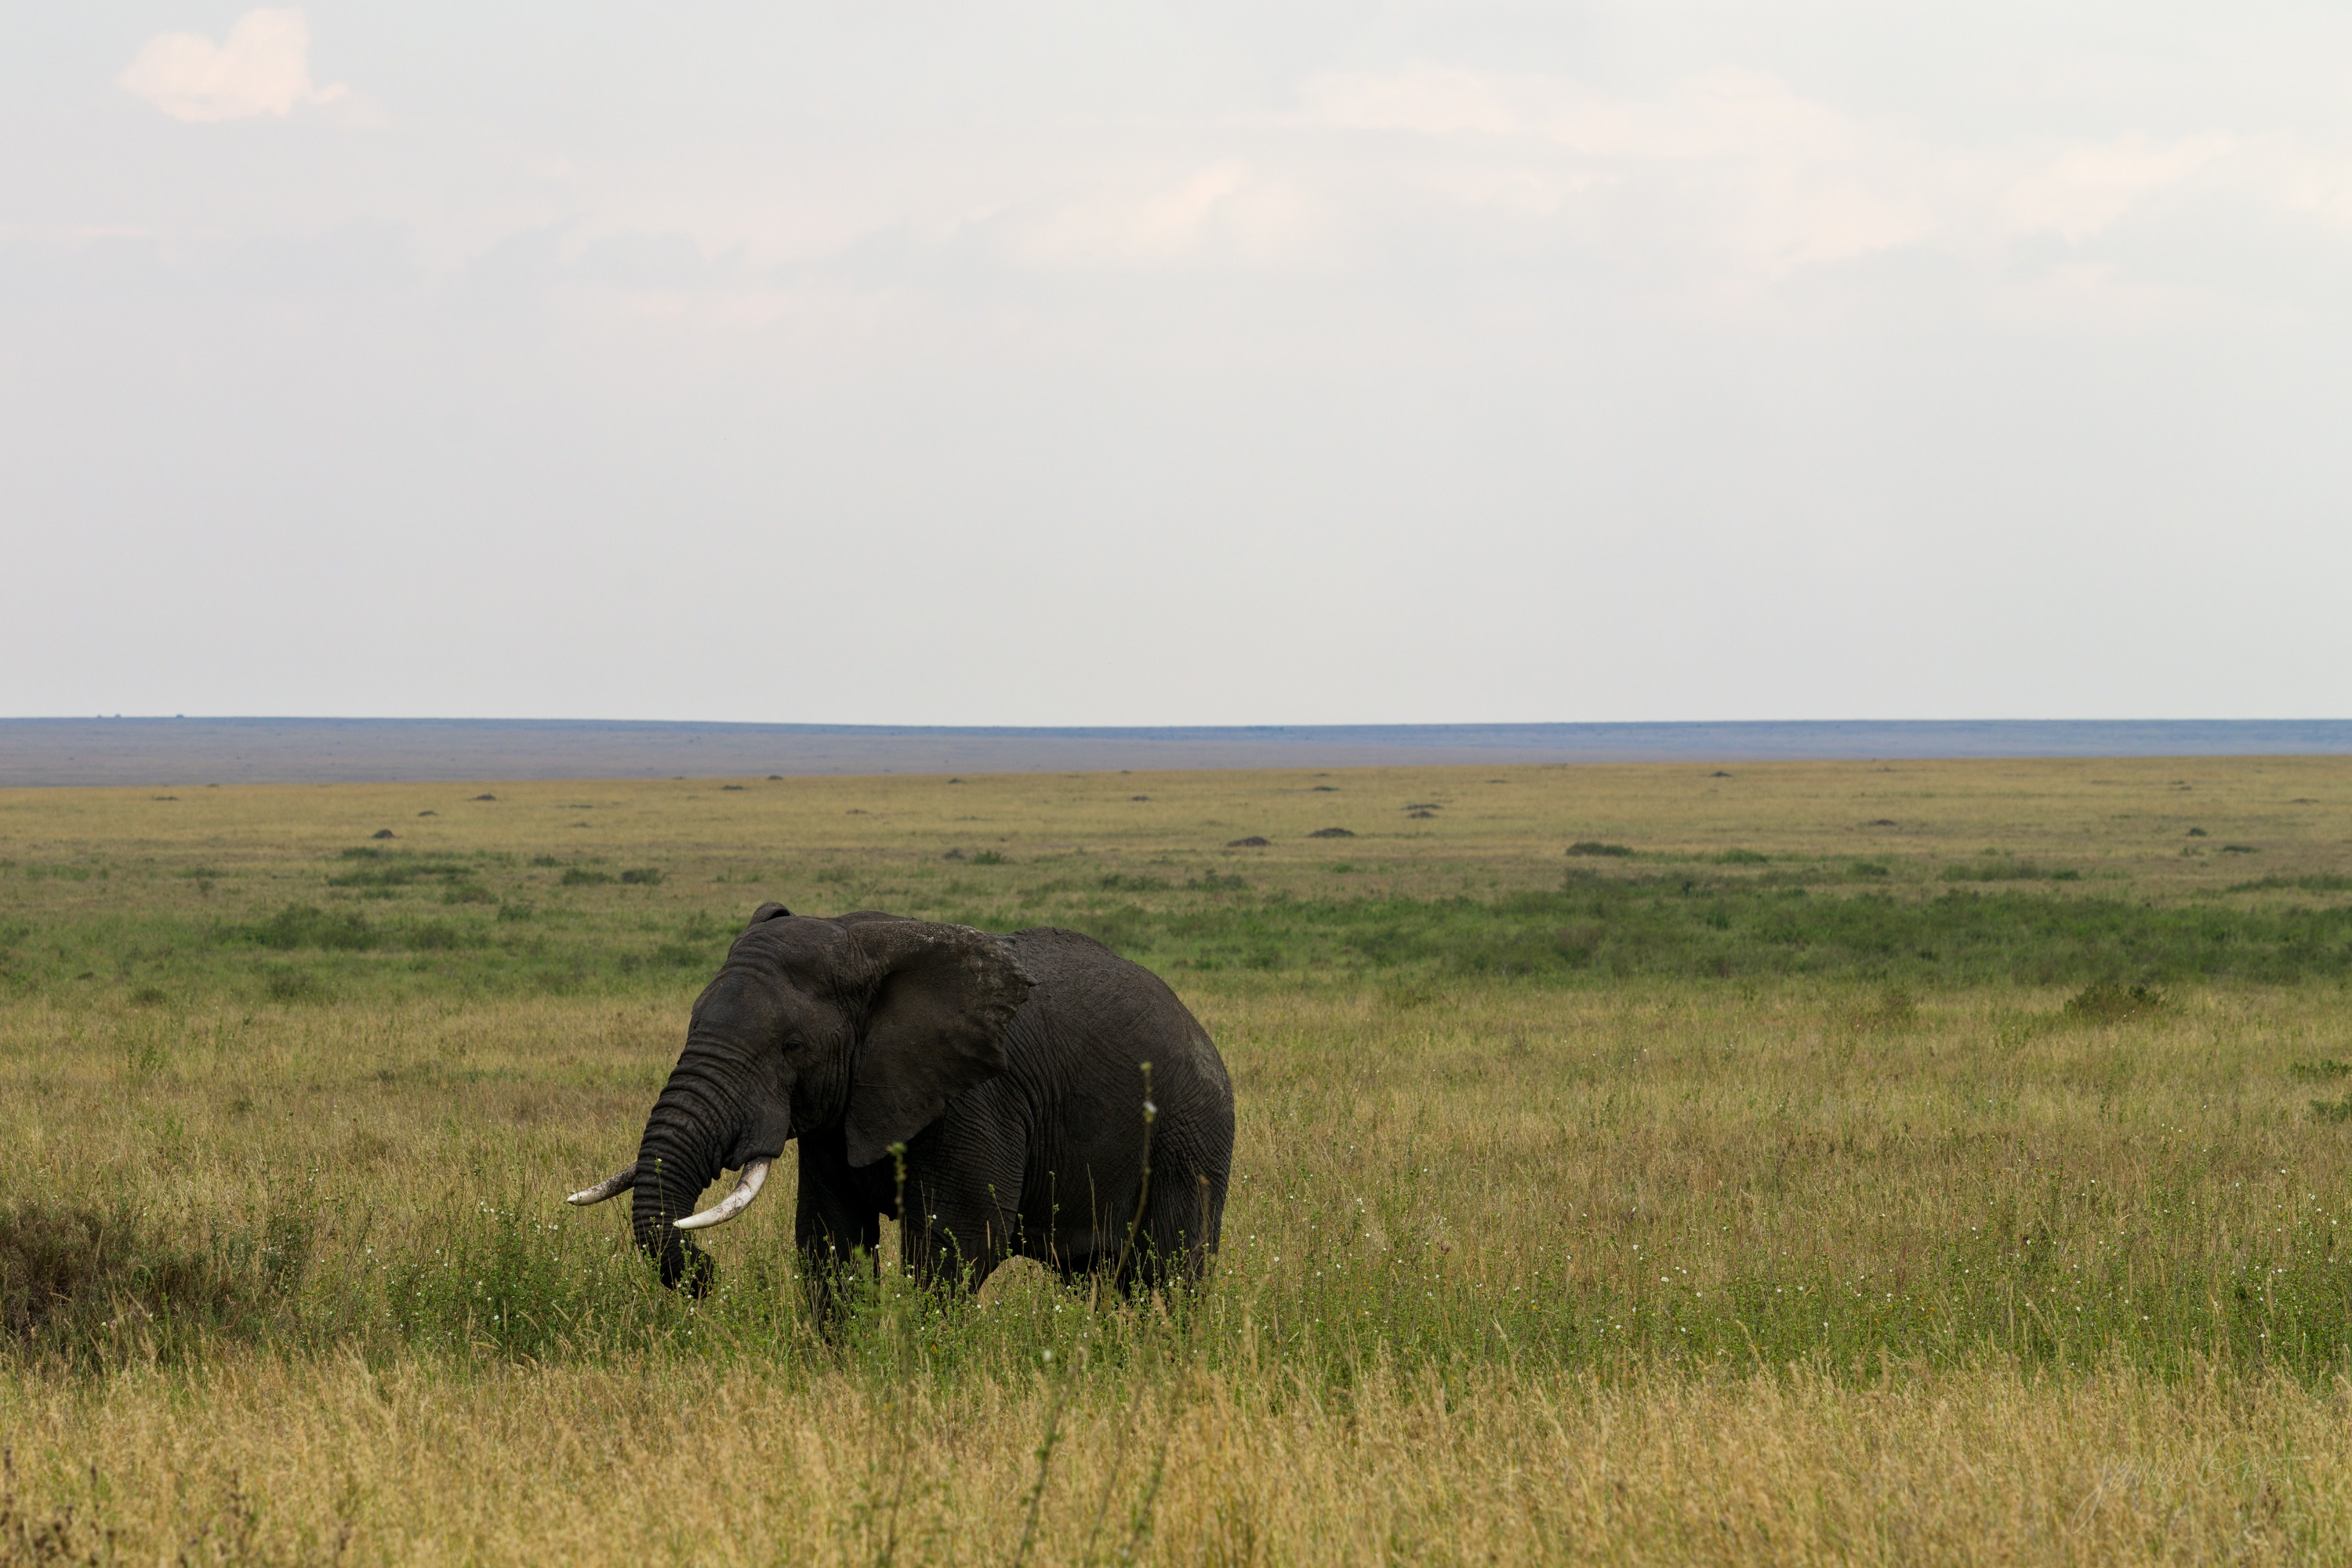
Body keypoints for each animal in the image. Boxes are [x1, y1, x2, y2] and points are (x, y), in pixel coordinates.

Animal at [565, 904, 1234, 1320]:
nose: (706, 1276)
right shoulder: (839, 1114)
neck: (858, 946)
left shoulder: (974, 1097)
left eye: (791, 1048)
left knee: (1173, 1269)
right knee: (1098, 1274)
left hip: (1191, 1133)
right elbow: (830, 1239)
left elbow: (956, 1243)